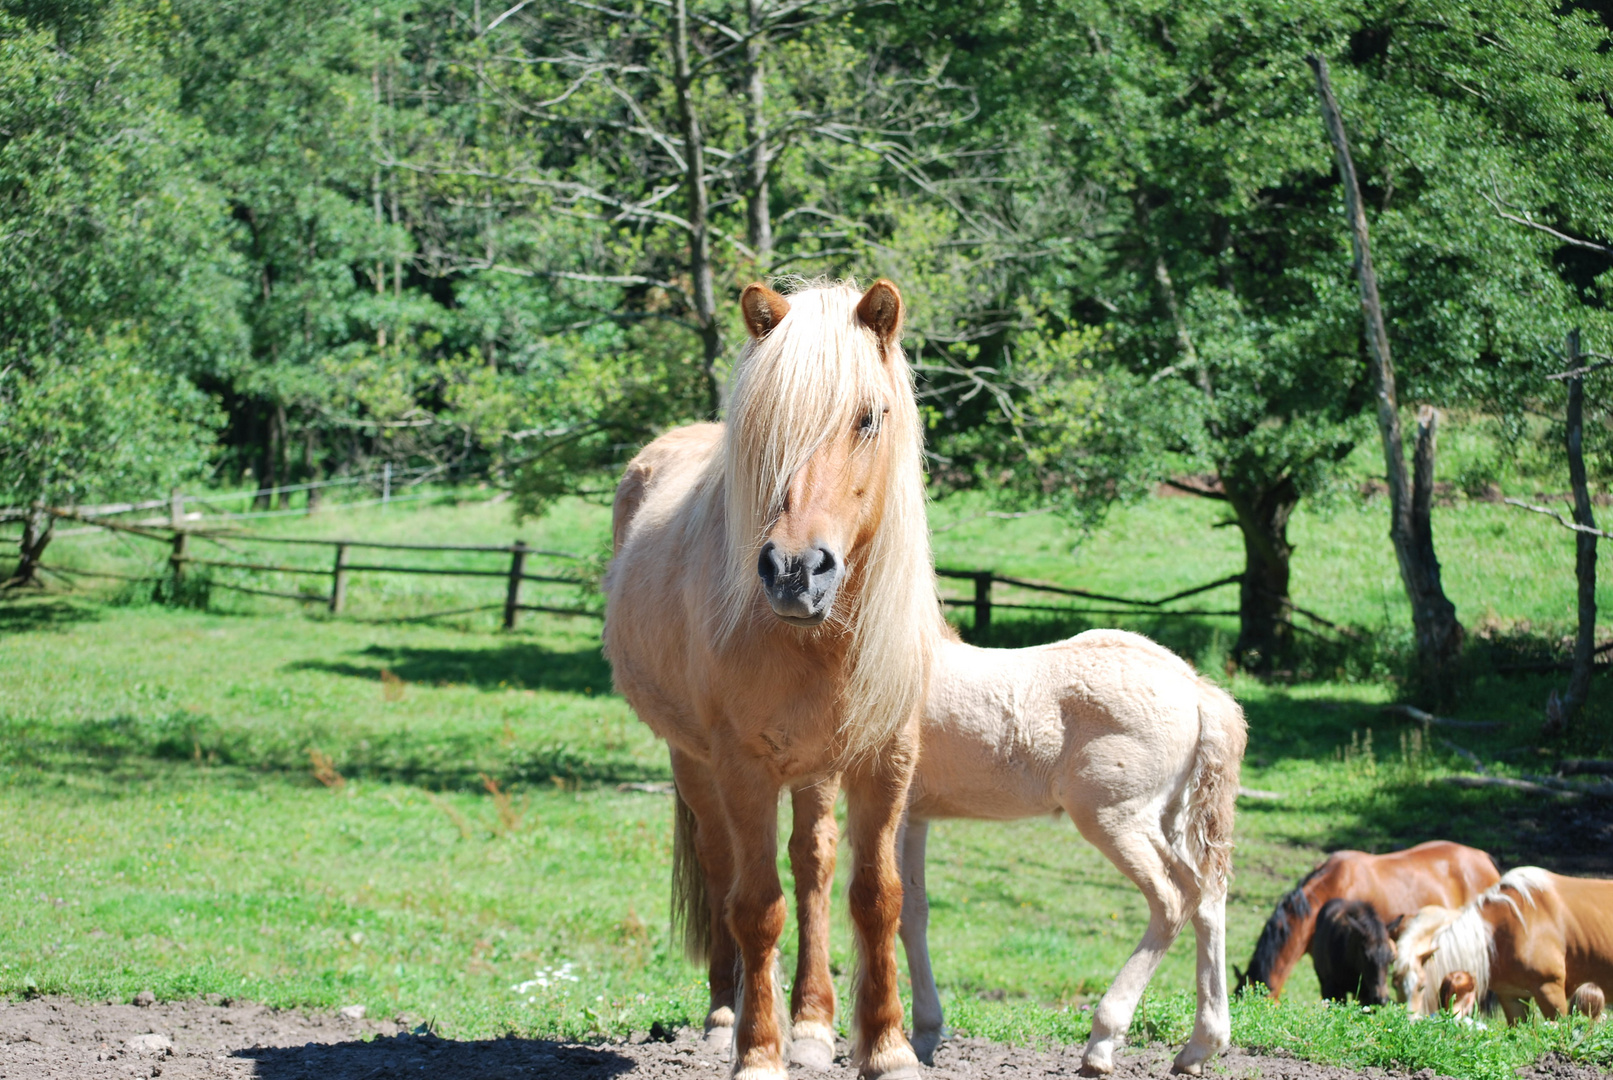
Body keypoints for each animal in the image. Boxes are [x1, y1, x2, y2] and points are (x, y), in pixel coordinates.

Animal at [606, 282, 941, 1080]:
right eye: (765, 429)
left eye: (867, 417)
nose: (793, 570)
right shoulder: (743, 766)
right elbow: (756, 905)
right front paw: (758, 1052)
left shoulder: (887, 758)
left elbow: (875, 897)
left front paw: (885, 1047)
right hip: (694, 762)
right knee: (723, 867)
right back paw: (725, 1017)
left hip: (816, 766)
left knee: (813, 865)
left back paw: (815, 1023)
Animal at [780, 631, 1245, 1076]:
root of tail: (1196, 690)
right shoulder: (915, 815)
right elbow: (913, 911)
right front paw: (926, 1033)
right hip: (1173, 818)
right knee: (1208, 896)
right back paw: (1200, 1046)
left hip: (1115, 820)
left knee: (1174, 900)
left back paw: (1101, 1043)